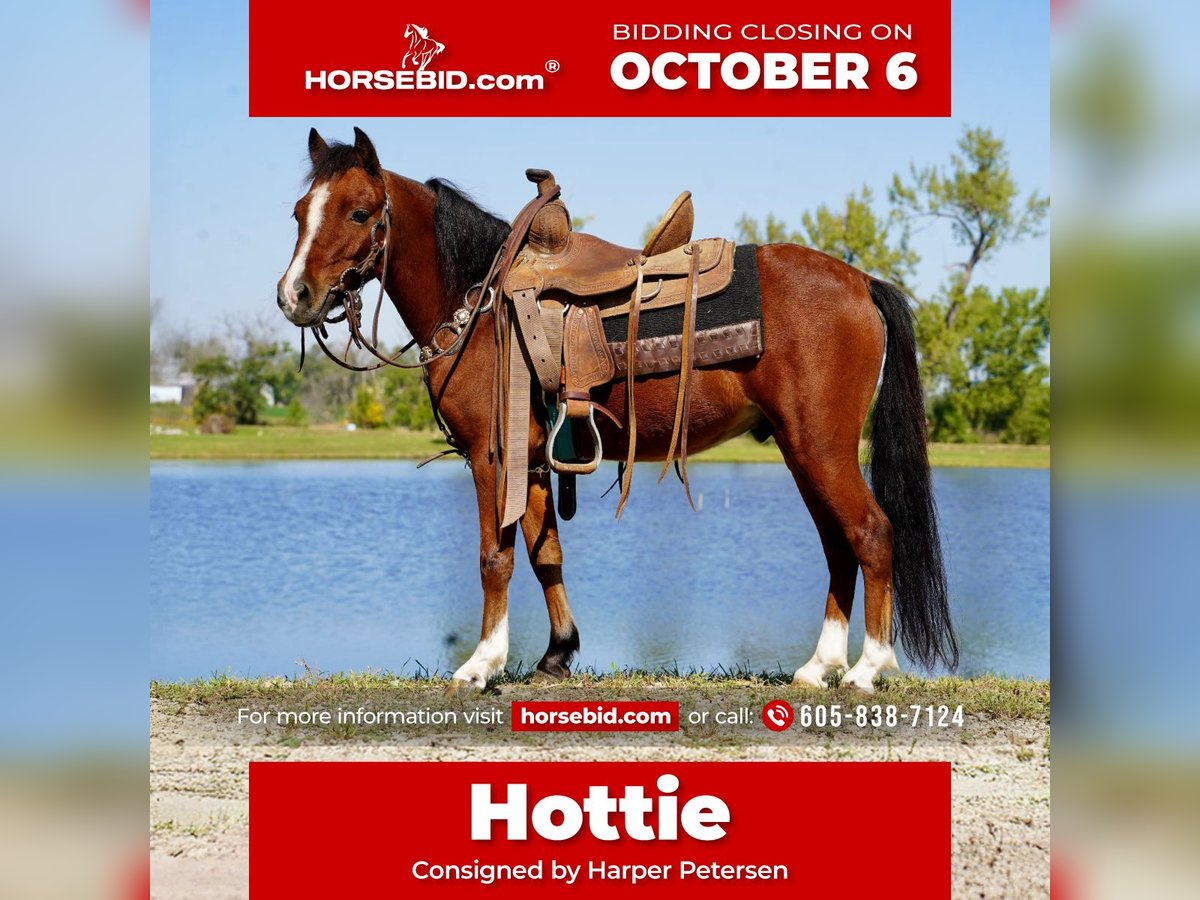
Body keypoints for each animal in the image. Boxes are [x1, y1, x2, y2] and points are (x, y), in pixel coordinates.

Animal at [275, 128, 958, 694]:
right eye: (299, 213)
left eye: (359, 212)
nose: (294, 296)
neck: (482, 303)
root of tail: (861, 282)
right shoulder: (533, 460)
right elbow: (545, 553)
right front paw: (556, 654)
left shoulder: (492, 458)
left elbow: (495, 558)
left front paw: (479, 665)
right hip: (803, 451)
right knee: (838, 544)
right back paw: (819, 666)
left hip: (821, 448)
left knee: (871, 533)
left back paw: (868, 668)